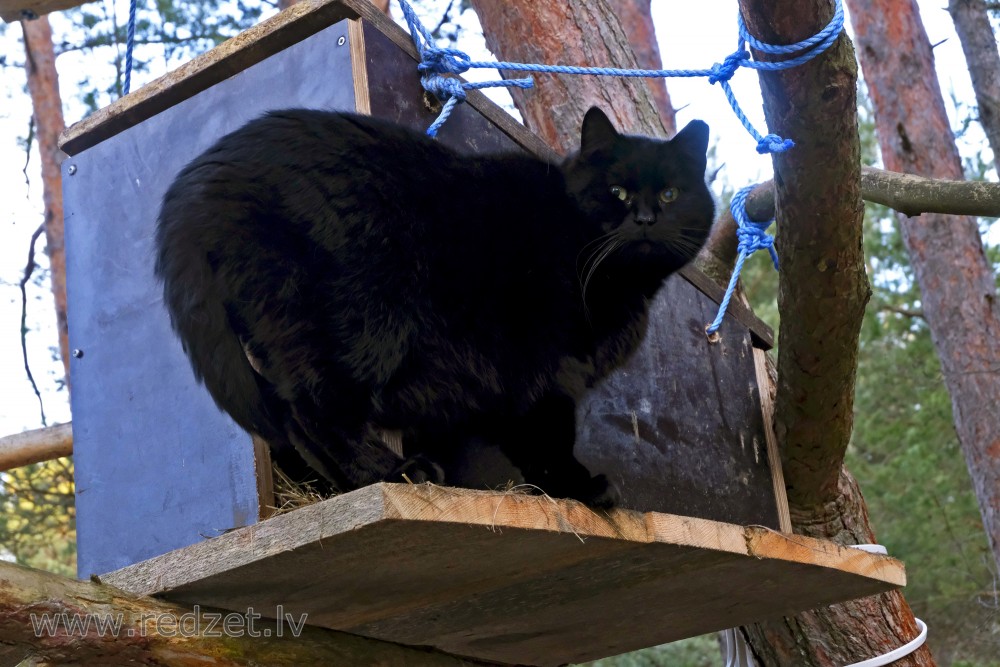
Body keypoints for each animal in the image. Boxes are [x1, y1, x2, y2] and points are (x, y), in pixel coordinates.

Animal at [156, 108, 716, 506]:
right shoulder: (550, 371)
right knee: (313, 414)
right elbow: (551, 438)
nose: (645, 219)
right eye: (616, 190)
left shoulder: (517, 379)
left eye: (671, 194)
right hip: (354, 323)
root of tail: (197, 189)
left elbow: (527, 438)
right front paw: (581, 488)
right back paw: (395, 474)